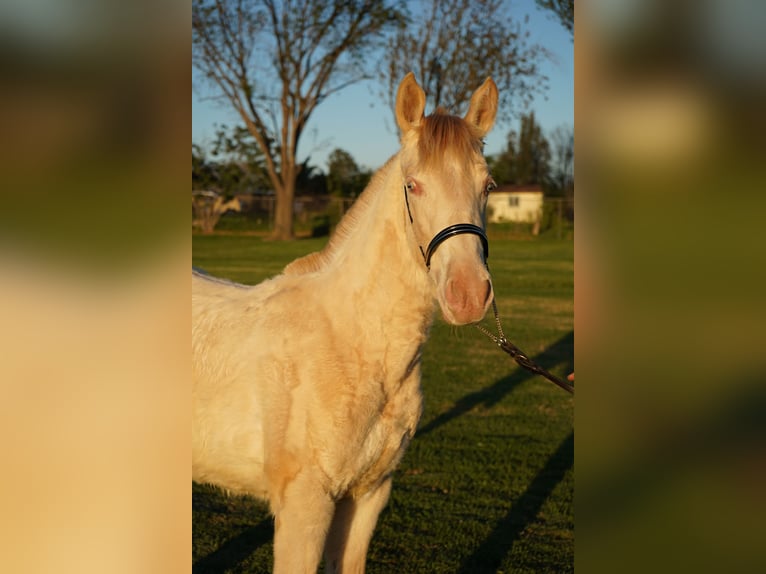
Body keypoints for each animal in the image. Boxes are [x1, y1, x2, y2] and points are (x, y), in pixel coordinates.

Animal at [192, 72, 498, 573]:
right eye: (413, 185)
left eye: (488, 185)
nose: (469, 294)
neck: (353, 345)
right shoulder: (305, 505)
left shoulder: (368, 495)